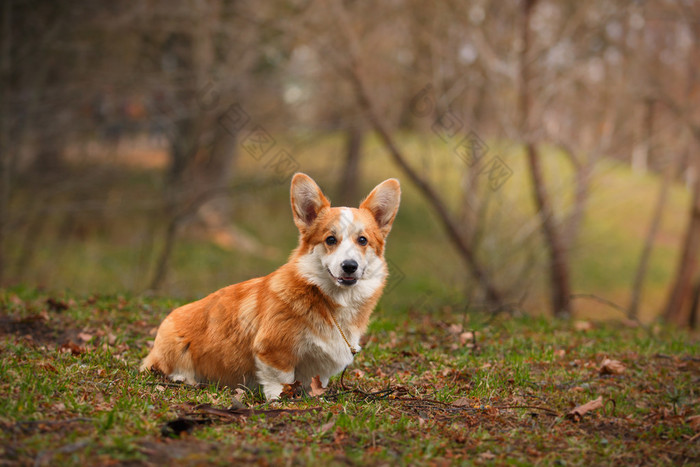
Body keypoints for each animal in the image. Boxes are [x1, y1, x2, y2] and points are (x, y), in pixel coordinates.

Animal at [140, 174, 402, 400]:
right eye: (330, 240)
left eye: (362, 240)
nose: (349, 266)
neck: (329, 300)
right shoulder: (273, 350)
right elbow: (280, 378)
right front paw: (280, 398)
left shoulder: (319, 364)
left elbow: (314, 380)